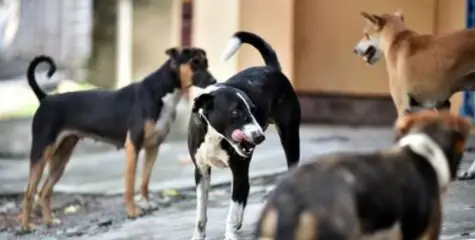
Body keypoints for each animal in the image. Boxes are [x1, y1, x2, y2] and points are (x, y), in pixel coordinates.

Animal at [18, 47, 216, 232]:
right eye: (194, 62)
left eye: (206, 62)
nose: (214, 81)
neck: (160, 93)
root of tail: (45, 98)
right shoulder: (133, 146)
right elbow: (130, 183)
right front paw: (132, 212)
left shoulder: (153, 147)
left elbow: (144, 182)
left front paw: (145, 203)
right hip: (41, 153)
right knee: (29, 192)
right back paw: (26, 226)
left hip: (62, 156)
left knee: (44, 191)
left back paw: (50, 222)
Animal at [189, 31, 302, 240]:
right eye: (236, 112)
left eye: (253, 110)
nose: (259, 137)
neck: (215, 136)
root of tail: (271, 68)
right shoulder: (201, 172)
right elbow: (201, 213)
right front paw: (198, 236)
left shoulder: (239, 171)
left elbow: (232, 210)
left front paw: (231, 234)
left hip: (290, 136)